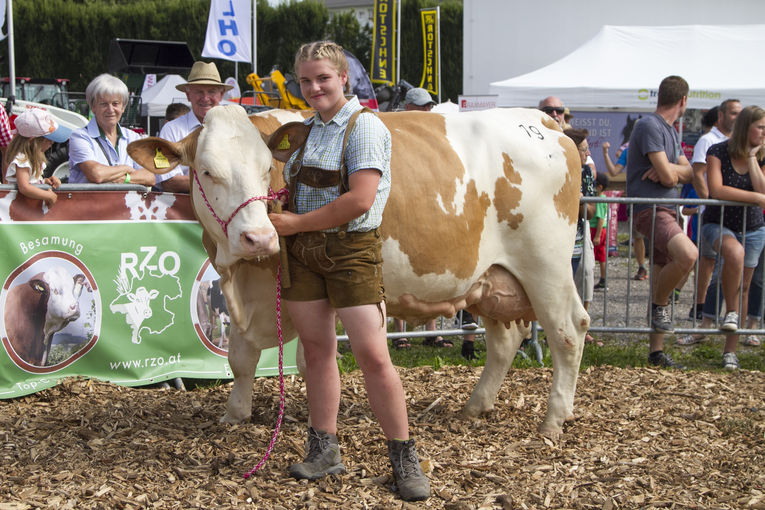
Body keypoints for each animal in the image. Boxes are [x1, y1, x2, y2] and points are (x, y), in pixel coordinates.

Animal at [128, 104, 588, 438]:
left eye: (264, 169)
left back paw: (553, 420)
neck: (240, 273)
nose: (258, 238)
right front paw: (235, 414)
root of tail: (544, 121)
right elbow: (241, 359)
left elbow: (310, 361)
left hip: (546, 265)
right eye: (207, 171)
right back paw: (476, 405)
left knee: (569, 331)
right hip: (490, 278)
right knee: (506, 340)